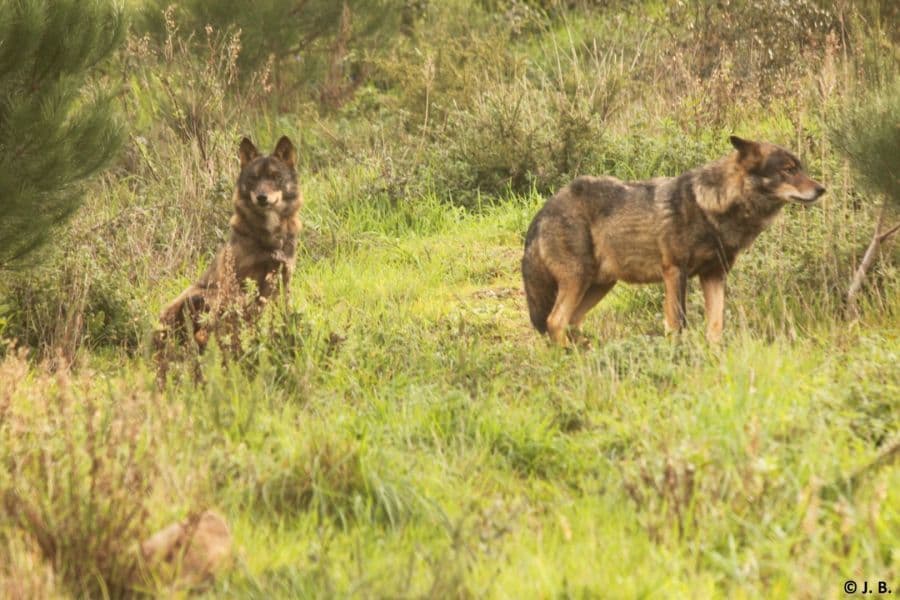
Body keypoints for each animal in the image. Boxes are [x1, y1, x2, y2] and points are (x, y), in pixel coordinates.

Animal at [156, 134, 302, 354]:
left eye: (276, 177)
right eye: (253, 178)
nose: (262, 197)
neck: (269, 236)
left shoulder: (284, 278)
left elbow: (284, 310)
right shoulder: (235, 283)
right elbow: (238, 320)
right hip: (203, 295)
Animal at [524, 135, 828, 342]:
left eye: (800, 168)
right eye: (787, 170)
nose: (822, 189)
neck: (712, 207)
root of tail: (543, 210)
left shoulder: (714, 275)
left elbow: (715, 327)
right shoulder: (674, 272)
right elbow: (678, 324)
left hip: (600, 285)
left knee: (571, 322)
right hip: (580, 280)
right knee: (555, 321)